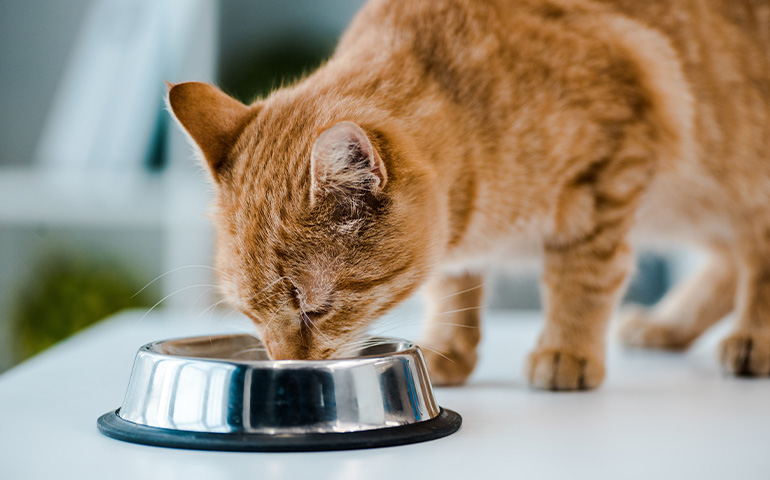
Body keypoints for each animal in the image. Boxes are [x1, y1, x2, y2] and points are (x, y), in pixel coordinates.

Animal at [171, 0, 768, 390]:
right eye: (248, 314)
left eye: (313, 309)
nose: (289, 370)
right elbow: (452, 285)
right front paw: (447, 348)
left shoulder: (612, 170)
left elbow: (582, 276)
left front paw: (567, 348)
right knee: (728, 262)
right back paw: (667, 325)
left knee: (753, 257)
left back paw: (751, 338)